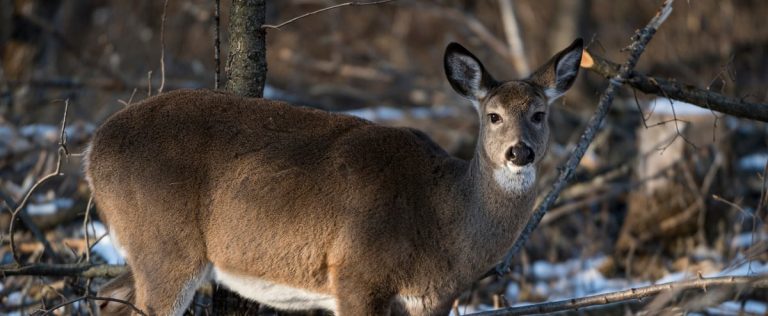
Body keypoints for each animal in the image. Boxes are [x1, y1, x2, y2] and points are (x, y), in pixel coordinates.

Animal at [85, 38, 584, 314]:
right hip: (165, 243)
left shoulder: (433, 300)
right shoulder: (355, 274)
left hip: (147, 245)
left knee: (108, 294)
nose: (520, 152)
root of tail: (93, 149)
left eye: (539, 114)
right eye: (494, 116)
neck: (443, 216)